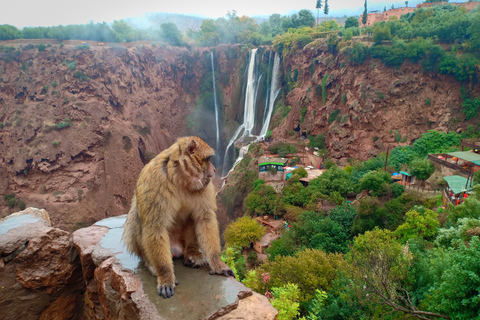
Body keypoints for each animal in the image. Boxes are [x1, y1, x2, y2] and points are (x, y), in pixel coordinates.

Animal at [122, 136, 234, 298]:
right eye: (208, 159)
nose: (214, 169)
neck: (180, 178)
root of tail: (176, 250)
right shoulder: (154, 181)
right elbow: (155, 226)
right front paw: (165, 275)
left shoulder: (205, 186)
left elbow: (205, 219)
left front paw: (217, 263)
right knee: (137, 216)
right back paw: (151, 263)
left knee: (193, 218)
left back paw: (192, 253)